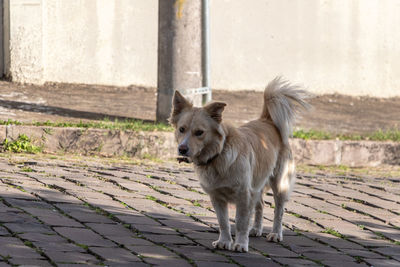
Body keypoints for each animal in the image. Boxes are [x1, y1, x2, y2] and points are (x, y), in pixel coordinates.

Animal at [170, 77, 310, 253]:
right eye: (181, 129)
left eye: (199, 132)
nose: (182, 149)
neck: (218, 155)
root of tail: (267, 120)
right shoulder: (217, 197)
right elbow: (223, 222)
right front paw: (224, 241)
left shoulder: (244, 195)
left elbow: (241, 222)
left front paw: (241, 244)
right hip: (257, 184)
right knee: (260, 205)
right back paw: (256, 229)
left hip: (280, 183)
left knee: (279, 210)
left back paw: (276, 234)